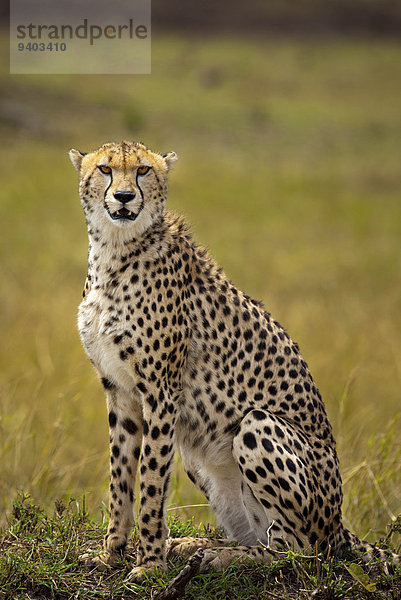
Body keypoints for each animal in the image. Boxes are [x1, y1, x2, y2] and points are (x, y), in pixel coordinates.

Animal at [70, 142, 398, 580]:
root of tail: (338, 525)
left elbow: (151, 484)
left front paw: (150, 565)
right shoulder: (120, 391)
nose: (123, 197)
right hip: (198, 454)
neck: (115, 249)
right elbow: (119, 479)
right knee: (259, 535)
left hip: (256, 427)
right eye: (105, 169)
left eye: (142, 170)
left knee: (297, 551)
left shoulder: (161, 393)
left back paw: (221, 556)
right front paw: (111, 554)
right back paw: (196, 545)